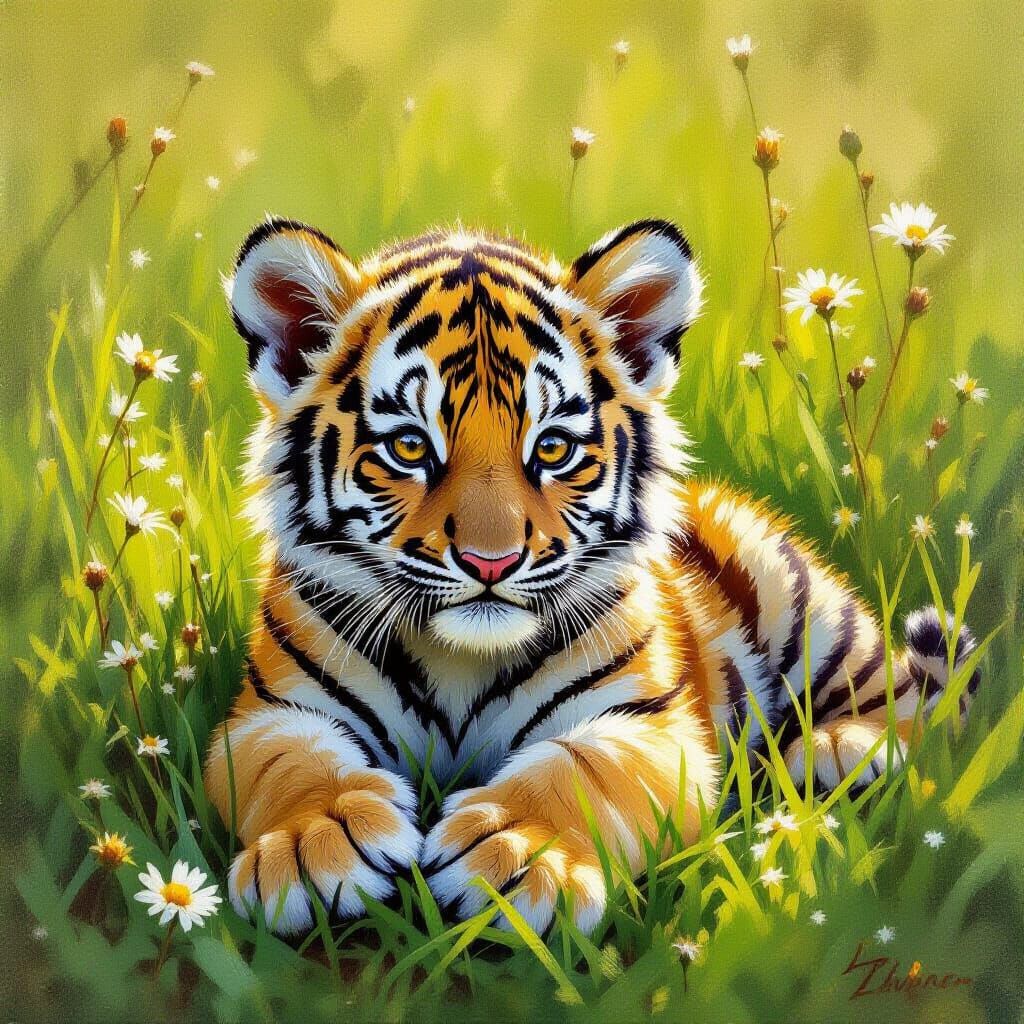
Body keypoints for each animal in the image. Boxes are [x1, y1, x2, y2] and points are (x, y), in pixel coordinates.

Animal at [204, 216, 977, 937]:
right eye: (409, 448)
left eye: (551, 448)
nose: (491, 563)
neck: (461, 663)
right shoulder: (266, 714)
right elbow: (295, 762)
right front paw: (314, 842)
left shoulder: (650, 726)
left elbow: (579, 770)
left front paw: (518, 853)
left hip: (805, 605)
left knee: (907, 699)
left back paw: (840, 749)